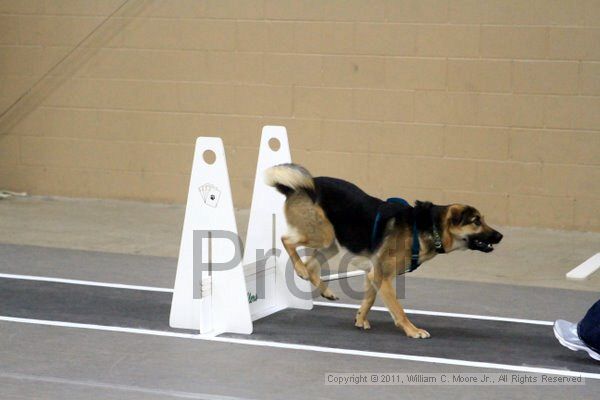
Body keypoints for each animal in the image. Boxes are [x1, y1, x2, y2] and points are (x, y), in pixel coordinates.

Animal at [266, 162, 502, 338]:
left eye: (482, 219)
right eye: (476, 221)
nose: (500, 236)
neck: (428, 227)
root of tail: (294, 187)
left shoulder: (374, 274)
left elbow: (369, 300)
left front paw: (360, 319)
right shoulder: (382, 275)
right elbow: (397, 308)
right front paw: (412, 330)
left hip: (330, 243)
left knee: (310, 264)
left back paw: (325, 290)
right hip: (322, 235)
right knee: (287, 241)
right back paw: (302, 271)